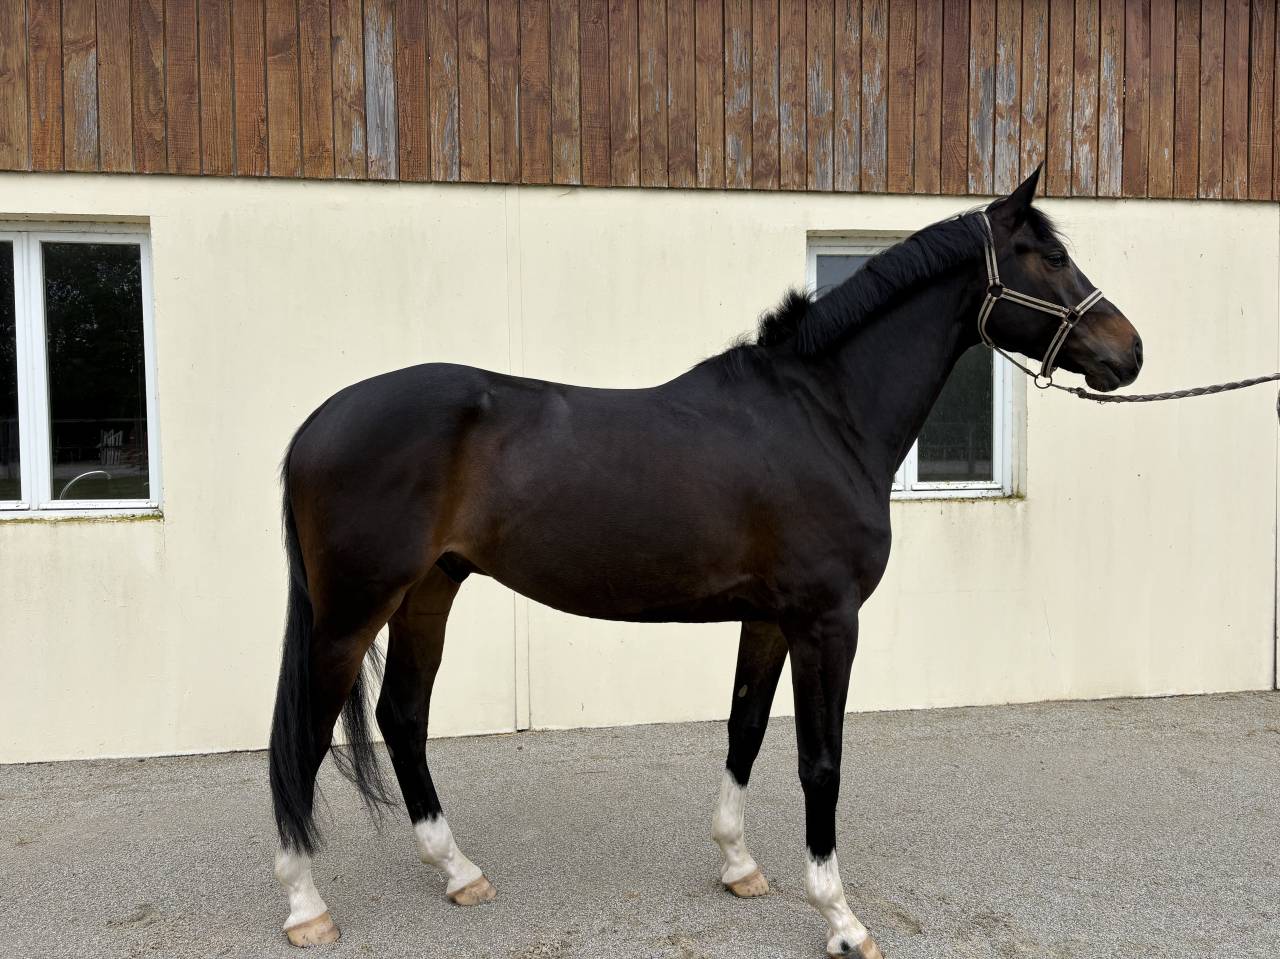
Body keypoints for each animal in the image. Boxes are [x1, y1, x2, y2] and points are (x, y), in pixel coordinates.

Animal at [267, 167, 1142, 958]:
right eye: (1049, 257)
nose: (1129, 352)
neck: (821, 414)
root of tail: (314, 424)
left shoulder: (770, 618)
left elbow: (744, 728)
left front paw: (739, 864)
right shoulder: (827, 621)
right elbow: (820, 761)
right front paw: (841, 917)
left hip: (430, 588)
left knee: (402, 715)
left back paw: (458, 871)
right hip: (352, 611)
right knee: (307, 735)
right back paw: (306, 906)